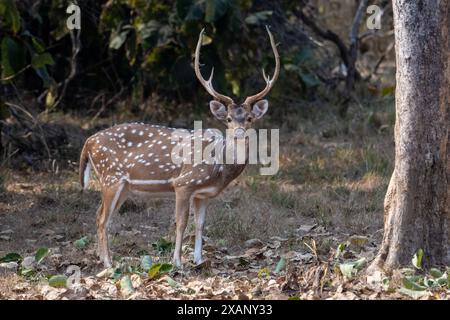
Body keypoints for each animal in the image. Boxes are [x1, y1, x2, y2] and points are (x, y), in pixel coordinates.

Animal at [79, 26, 280, 268]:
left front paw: (199, 259)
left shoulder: (204, 194)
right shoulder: (184, 183)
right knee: (102, 218)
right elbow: (181, 223)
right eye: (229, 119)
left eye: (250, 118)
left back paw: (103, 258)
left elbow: (200, 225)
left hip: (123, 185)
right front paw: (177, 262)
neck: (219, 167)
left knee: (100, 215)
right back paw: (109, 264)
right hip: (111, 177)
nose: (239, 133)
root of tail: (89, 142)